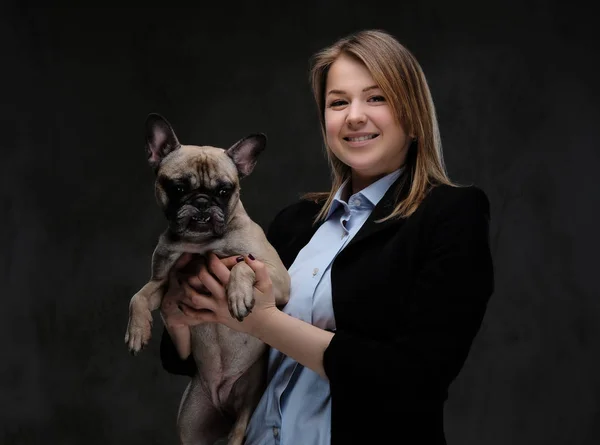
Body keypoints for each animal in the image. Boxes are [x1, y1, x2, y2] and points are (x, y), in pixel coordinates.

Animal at [124, 112, 290, 442]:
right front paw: (137, 331)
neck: (201, 243)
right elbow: (138, 297)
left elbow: (242, 263)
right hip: (192, 422)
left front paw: (238, 296)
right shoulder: (161, 283)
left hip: (248, 403)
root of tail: (222, 399)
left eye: (224, 191)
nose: (202, 201)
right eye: (177, 188)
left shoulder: (277, 275)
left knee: (238, 431)